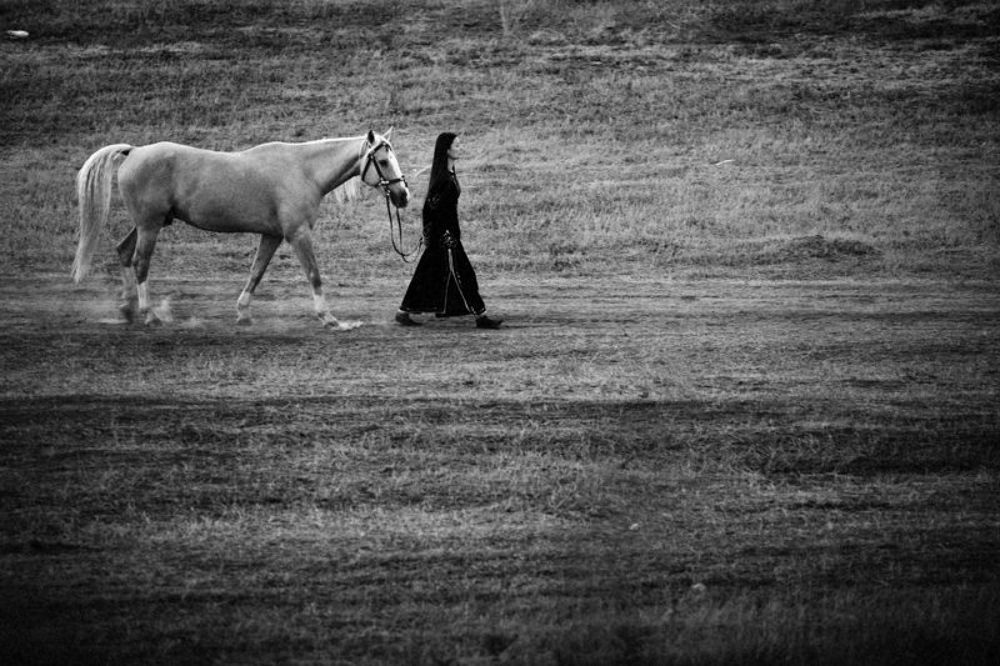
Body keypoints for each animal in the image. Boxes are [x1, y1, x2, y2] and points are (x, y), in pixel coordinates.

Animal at [72, 129, 410, 330]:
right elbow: (314, 274)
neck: (303, 170)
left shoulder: (273, 235)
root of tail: (135, 151)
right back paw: (149, 313)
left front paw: (243, 312)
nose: (403, 195)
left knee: (123, 253)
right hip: (150, 226)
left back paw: (127, 308)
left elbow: (256, 271)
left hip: (148, 224)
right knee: (140, 263)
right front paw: (329, 318)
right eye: (383, 160)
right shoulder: (297, 233)